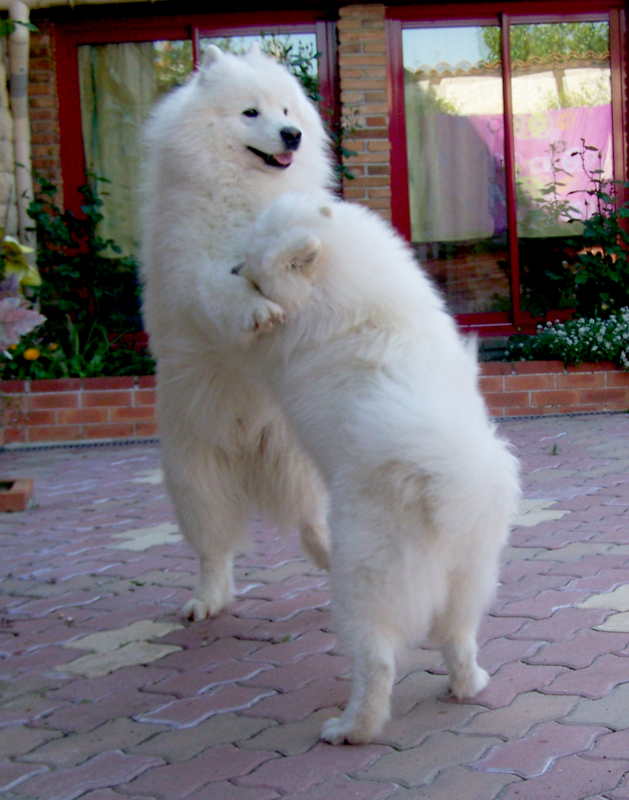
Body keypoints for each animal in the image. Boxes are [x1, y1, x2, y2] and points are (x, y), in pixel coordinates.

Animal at [138, 43, 334, 620]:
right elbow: (225, 290)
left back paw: (330, 554)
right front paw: (257, 310)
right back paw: (205, 601)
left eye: (287, 111)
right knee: (214, 550)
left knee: (311, 520)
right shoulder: (193, 271)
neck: (248, 189)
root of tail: (251, 449)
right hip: (194, 480)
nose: (291, 135)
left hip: (300, 459)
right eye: (251, 113)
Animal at [236, 192, 520, 744]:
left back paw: (351, 728)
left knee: (377, 663)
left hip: (362, 586)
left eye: (253, 263)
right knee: (458, 638)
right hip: (469, 578)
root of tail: (445, 487)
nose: (234, 267)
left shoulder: (278, 347)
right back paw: (469, 684)